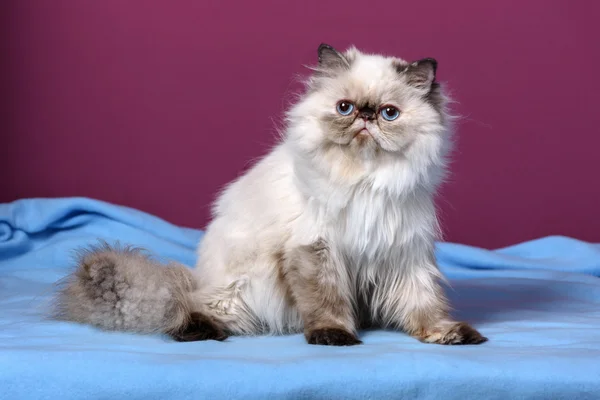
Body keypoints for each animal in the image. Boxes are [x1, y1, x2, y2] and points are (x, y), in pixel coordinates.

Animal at [54, 42, 488, 346]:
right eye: (344, 108)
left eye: (389, 114)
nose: (365, 118)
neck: (364, 181)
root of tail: (196, 278)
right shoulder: (316, 248)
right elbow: (326, 302)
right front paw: (335, 337)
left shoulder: (402, 252)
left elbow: (422, 304)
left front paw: (447, 334)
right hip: (242, 285)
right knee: (189, 311)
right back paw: (199, 330)